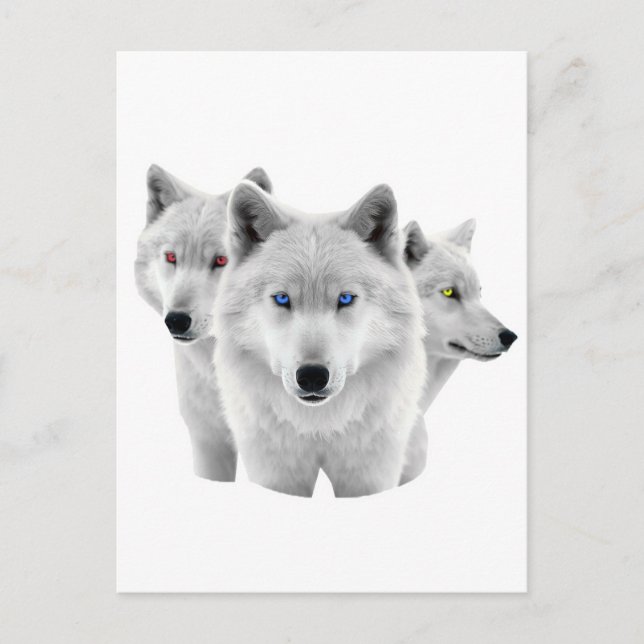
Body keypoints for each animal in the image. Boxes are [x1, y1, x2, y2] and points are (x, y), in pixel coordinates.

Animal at [212, 181, 426, 497]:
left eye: (346, 298)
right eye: (282, 298)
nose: (312, 376)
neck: (319, 426)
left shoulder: (370, 474)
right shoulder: (275, 472)